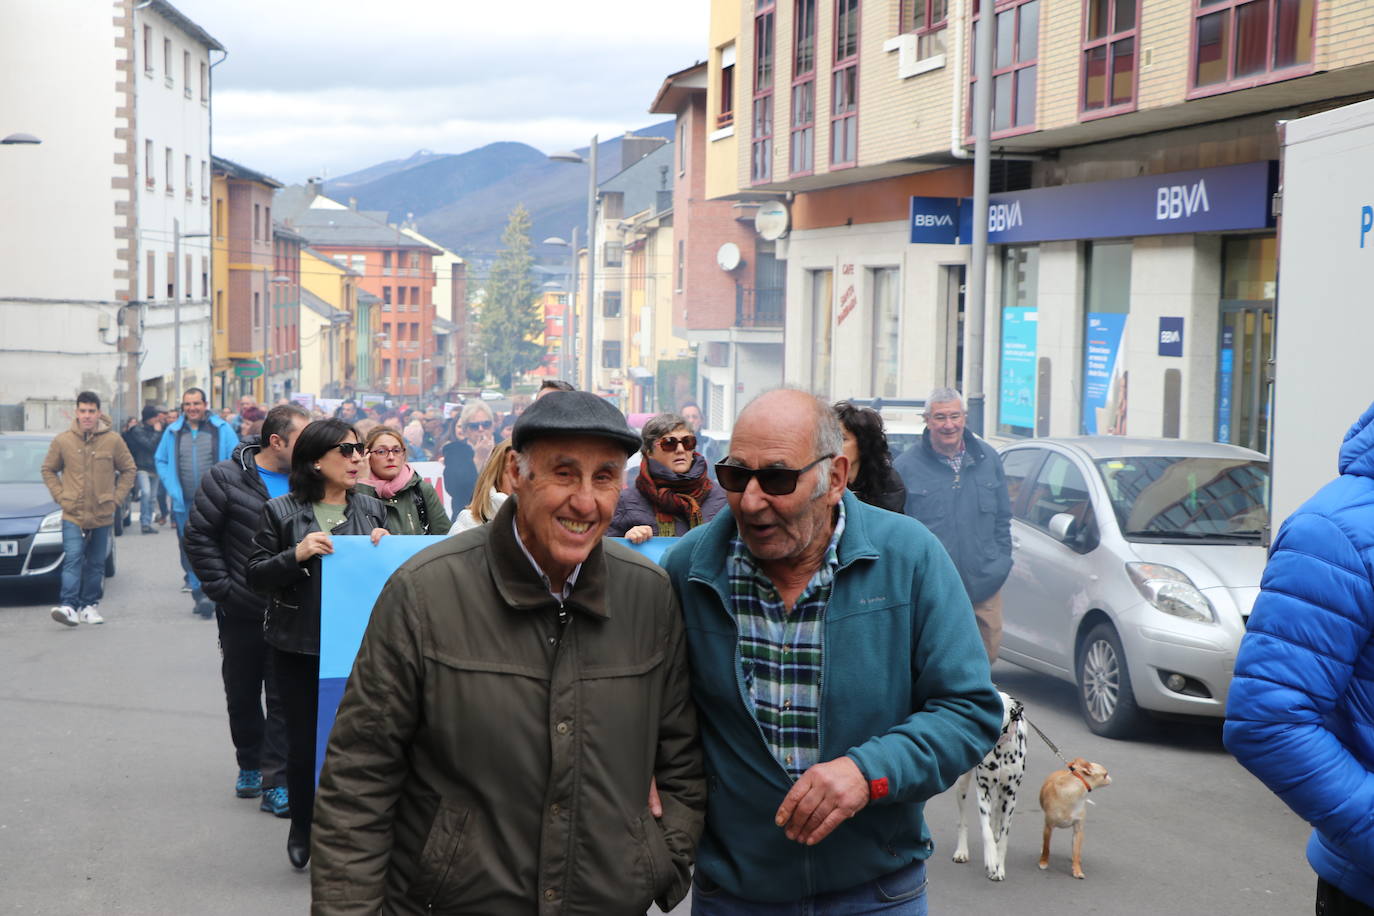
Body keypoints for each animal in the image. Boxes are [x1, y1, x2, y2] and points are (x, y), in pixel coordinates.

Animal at [950, 694, 1027, 878]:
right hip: (962, 786)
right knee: (962, 821)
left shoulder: (1010, 797)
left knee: (998, 810)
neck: (1000, 749)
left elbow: (1004, 837)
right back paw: (961, 851)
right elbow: (985, 830)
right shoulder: (983, 790)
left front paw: (1000, 866)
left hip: (1002, 794)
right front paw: (991, 859)